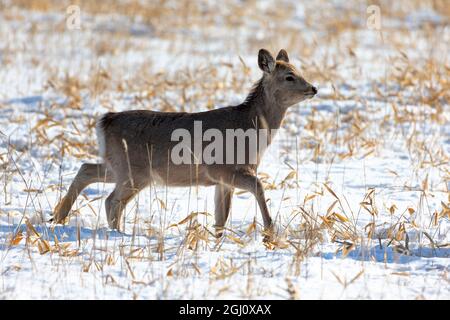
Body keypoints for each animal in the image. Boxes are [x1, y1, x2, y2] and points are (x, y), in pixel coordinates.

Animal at [53, 48, 316, 240]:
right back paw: (118, 233)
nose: (313, 88)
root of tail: (105, 122)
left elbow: (221, 215)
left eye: (299, 70)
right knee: (111, 201)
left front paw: (218, 239)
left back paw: (59, 217)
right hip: (134, 171)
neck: (250, 128)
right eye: (289, 76)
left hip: (119, 166)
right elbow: (258, 187)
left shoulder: (222, 180)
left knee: (87, 169)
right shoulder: (223, 168)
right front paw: (270, 231)